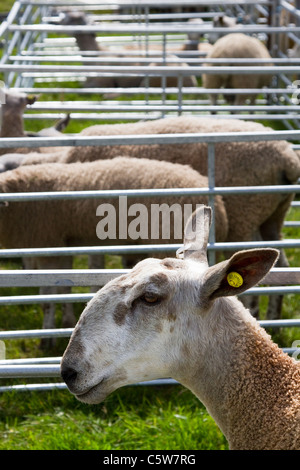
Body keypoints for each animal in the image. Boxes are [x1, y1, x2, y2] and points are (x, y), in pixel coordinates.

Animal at [0, 156, 227, 344]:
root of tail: (220, 208)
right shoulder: (61, 245)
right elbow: (62, 288)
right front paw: (66, 320)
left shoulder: (48, 243)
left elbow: (49, 296)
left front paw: (48, 335)